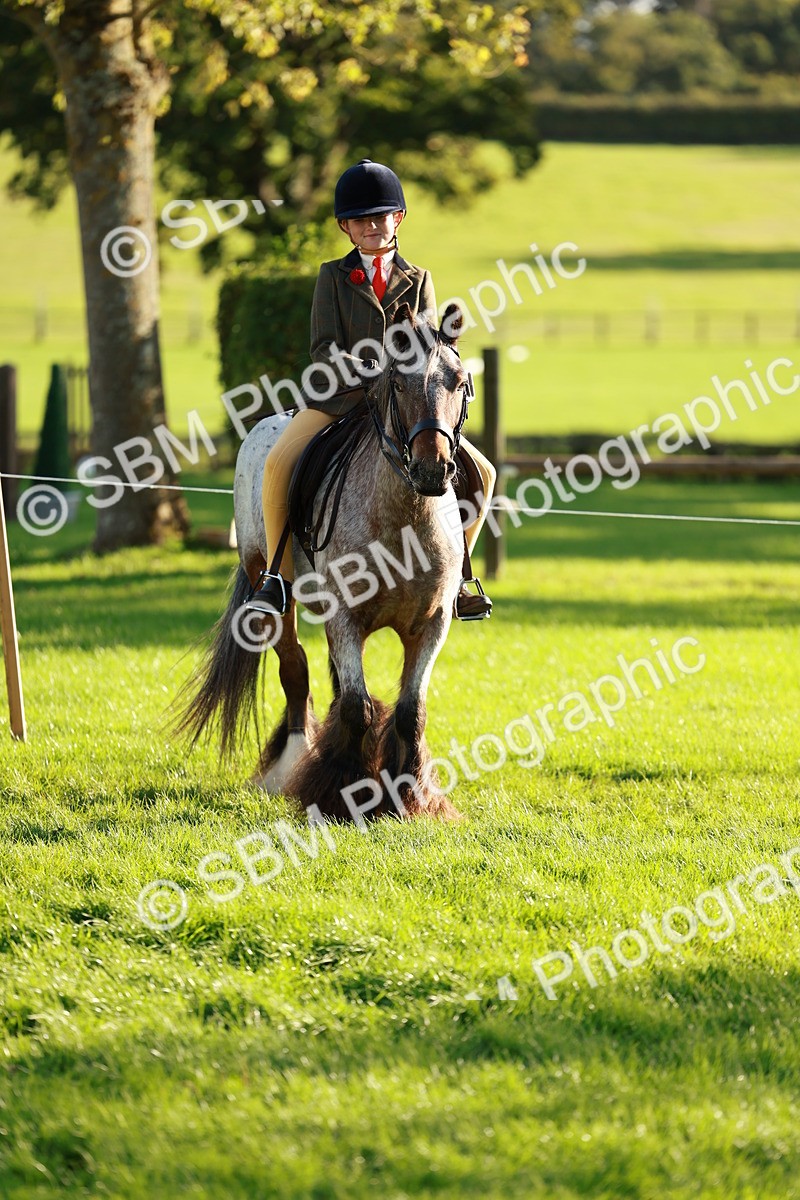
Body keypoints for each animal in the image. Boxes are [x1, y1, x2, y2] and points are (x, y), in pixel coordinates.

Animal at [175, 302, 471, 823]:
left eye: (458, 382)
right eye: (398, 384)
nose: (432, 468)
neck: (403, 519)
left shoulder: (432, 623)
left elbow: (409, 711)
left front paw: (411, 797)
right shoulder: (344, 617)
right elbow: (356, 706)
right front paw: (341, 796)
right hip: (270, 588)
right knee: (295, 670)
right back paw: (290, 766)